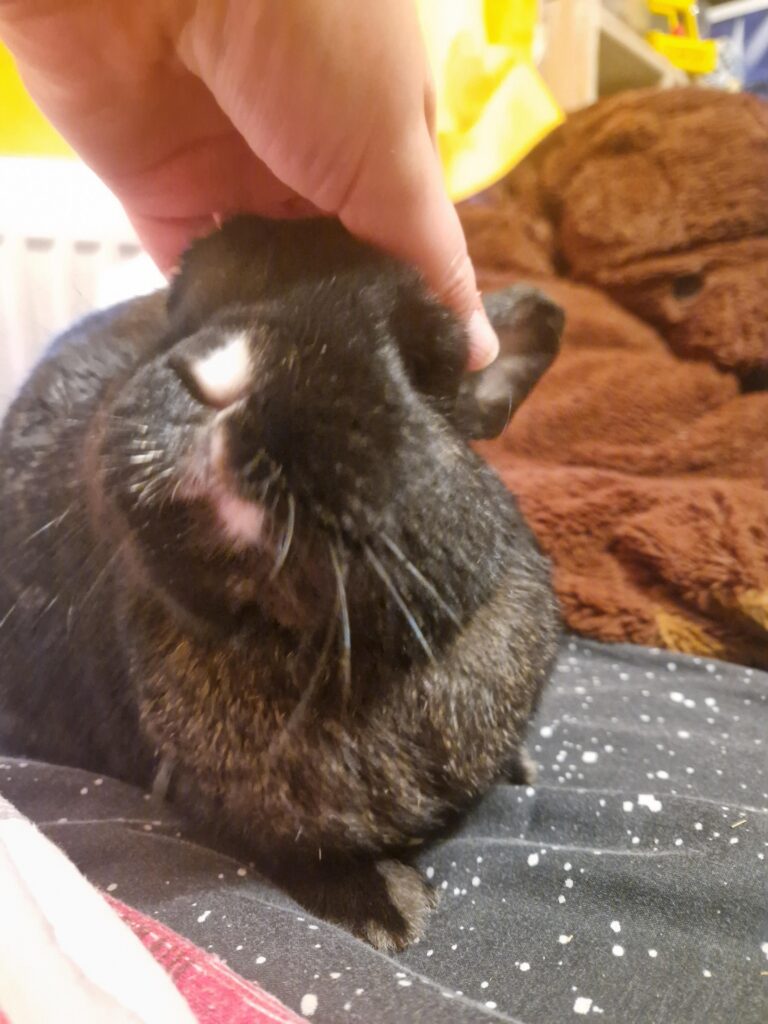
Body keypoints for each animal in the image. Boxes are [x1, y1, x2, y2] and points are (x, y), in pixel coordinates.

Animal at [0, 215, 562, 950]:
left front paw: (519, 767)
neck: (336, 656)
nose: (216, 370)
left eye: (423, 363)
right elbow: (299, 851)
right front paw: (390, 909)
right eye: (183, 315)